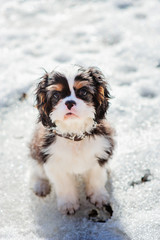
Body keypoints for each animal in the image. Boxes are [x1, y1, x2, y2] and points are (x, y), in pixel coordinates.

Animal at [29, 65, 114, 214]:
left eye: (83, 92)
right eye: (56, 95)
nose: (69, 102)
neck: (74, 134)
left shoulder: (100, 153)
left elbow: (96, 178)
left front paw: (98, 196)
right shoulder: (53, 160)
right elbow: (64, 185)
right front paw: (68, 203)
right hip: (36, 150)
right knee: (38, 170)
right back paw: (41, 185)